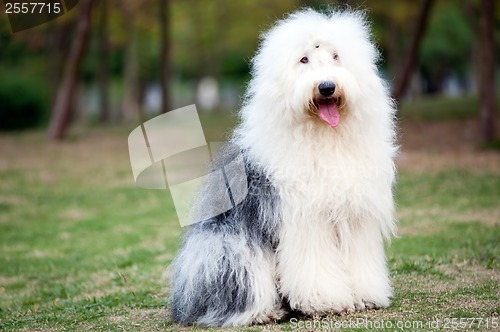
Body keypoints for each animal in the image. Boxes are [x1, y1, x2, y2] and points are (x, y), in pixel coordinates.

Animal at [170, 7, 396, 326]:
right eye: (304, 60)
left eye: (336, 56)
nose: (326, 86)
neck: (324, 136)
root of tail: (183, 304)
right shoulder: (305, 217)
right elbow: (315, 264)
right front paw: (328, 302)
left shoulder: (356, 214)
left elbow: (358, 256)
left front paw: (366, 296)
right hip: (230, 248)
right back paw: (267, 311)